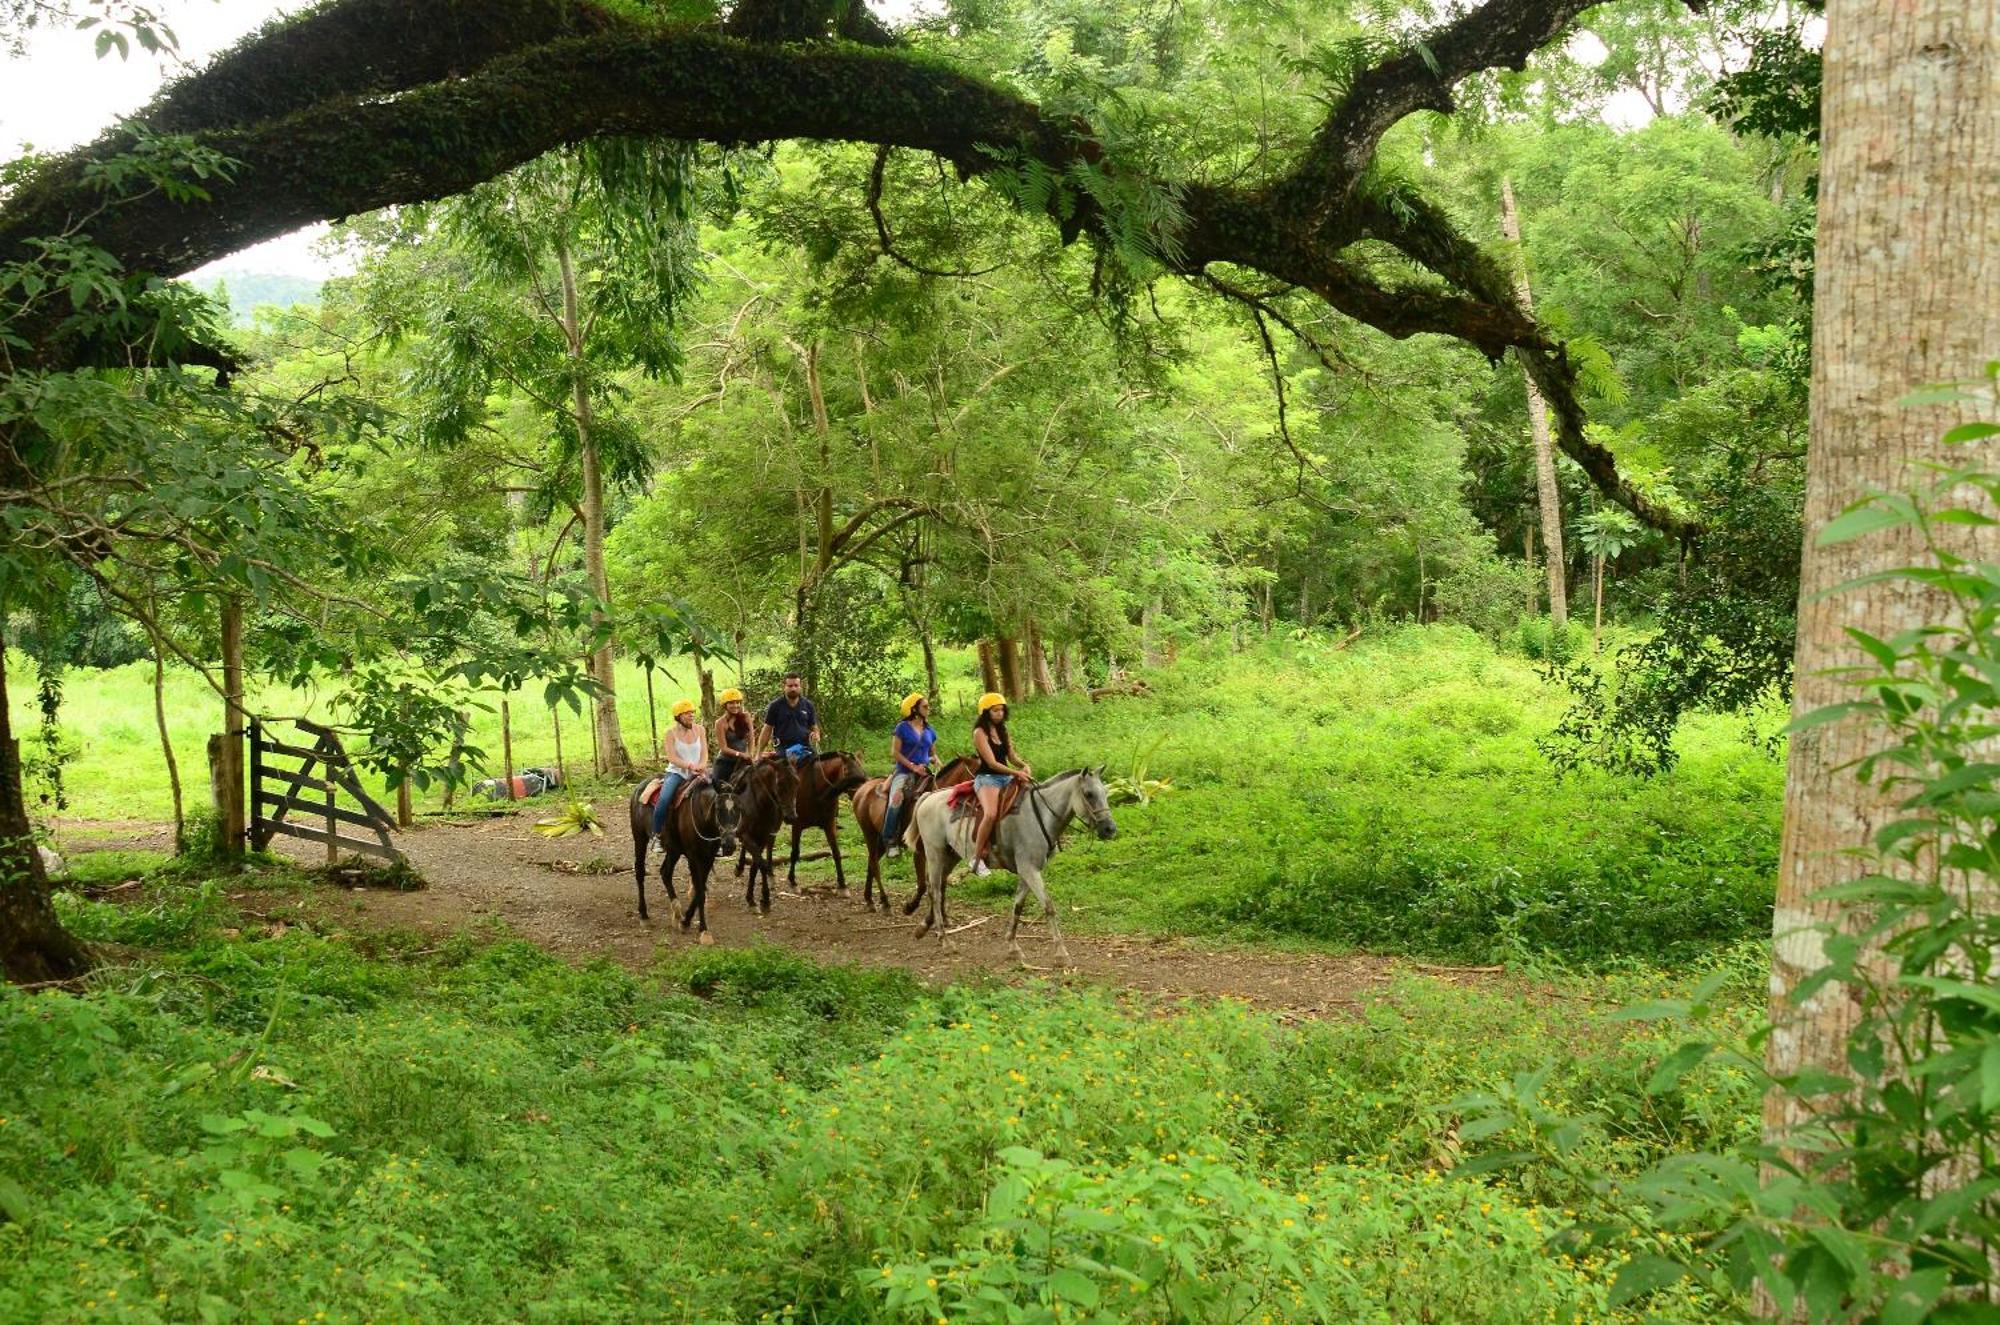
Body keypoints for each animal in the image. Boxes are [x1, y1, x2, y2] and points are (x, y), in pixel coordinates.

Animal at [624, 772, 744, 940]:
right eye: (718, 808)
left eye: (739, 808)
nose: (729, 845)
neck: (703, 819)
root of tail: (639, 788)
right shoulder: (693, 857)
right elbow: (700, 891)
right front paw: (704, 930)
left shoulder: (709, 857)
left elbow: (700, 890)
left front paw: (686, 921)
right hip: (639, 837)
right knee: (640, 872)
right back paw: (644, 915)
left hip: (673, 850)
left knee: (665, 873)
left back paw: (676, 913)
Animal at [732, 756, 800, 912]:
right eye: (780, 784)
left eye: (797, 782)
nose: (791, 817)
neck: (760, 804)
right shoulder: (746, 835)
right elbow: (760, 864)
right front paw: (764, 899)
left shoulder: (763, 837)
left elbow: (756, 866)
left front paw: (755, 899)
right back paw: (740, 867)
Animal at [788, 756, 868, 892]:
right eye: (846, 771)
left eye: (861, 769)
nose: (861, 793)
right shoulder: (797, 825)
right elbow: (795, 853)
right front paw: (792, 881)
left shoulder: (829, 825)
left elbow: (836, 853)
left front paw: (842, 885)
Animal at [844, 756, 976, 912]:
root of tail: (863, 788)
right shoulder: (919, 852)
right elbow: (924, 884)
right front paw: (910, 907)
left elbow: (940, 884)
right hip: (869, 833)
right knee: (874, 864)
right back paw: (885, 901)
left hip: (880, 840)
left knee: (871, 863)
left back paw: (869, 899)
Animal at [904, 768, 1120, 964]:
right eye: (1089, 794)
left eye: (1105, 792)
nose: (1110, 829)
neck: (1040, 815)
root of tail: (928, 797)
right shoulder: (1029, 869)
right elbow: (1048, 906)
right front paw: (1061, 953)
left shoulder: (1028, 871)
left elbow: (1018, 906)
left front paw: (1013, 947)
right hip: (935, 853)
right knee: (935, 891)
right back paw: (945, 940)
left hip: (951, 855)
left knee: (939, 887)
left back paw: (923, 928)